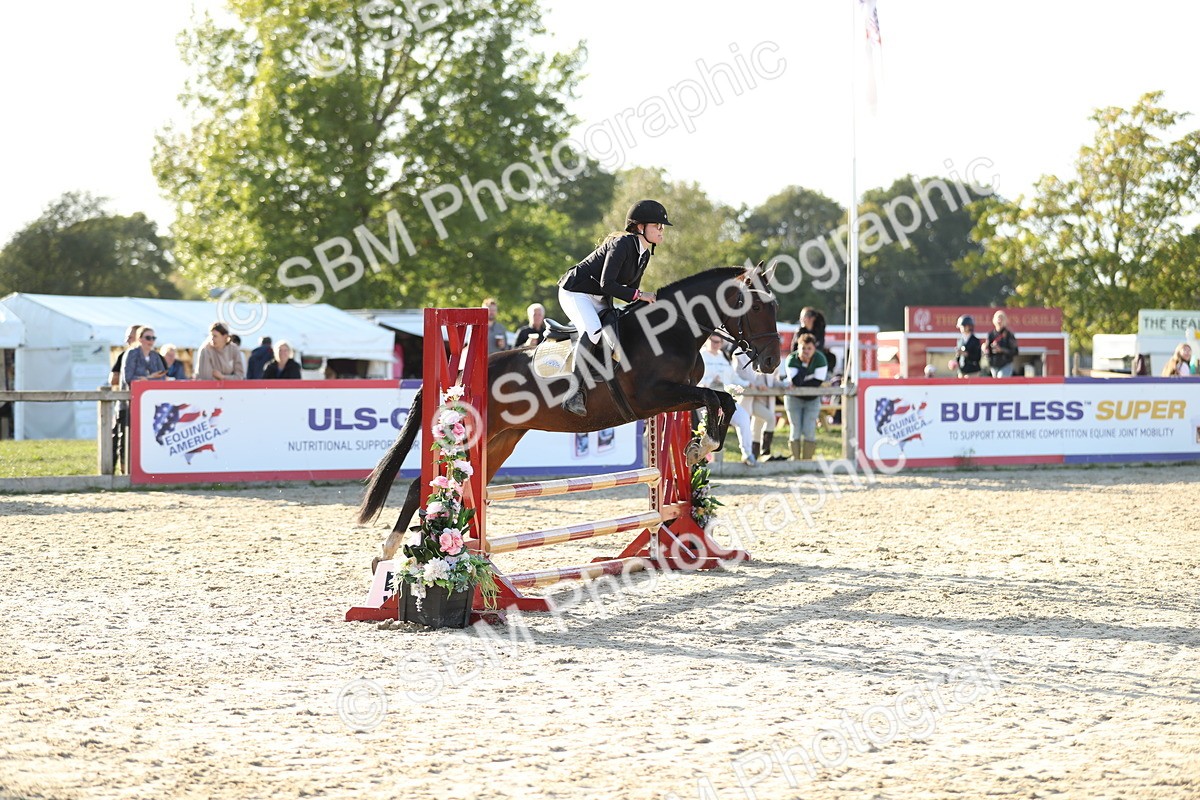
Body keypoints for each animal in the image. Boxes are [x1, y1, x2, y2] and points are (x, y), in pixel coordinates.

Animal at [357, 263, 782, 564]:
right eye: (757, 306)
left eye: (774, 306)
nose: (772, 362)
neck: (671, 330)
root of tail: (457, 378)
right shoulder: (653, 397)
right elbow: (714, 397)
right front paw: (700, 447)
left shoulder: (674, 398)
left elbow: (721, 400)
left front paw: (698, 448)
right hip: (472, 434)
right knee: (423, 485)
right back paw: (394, 550)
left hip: (501, 440)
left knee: (462, 488)